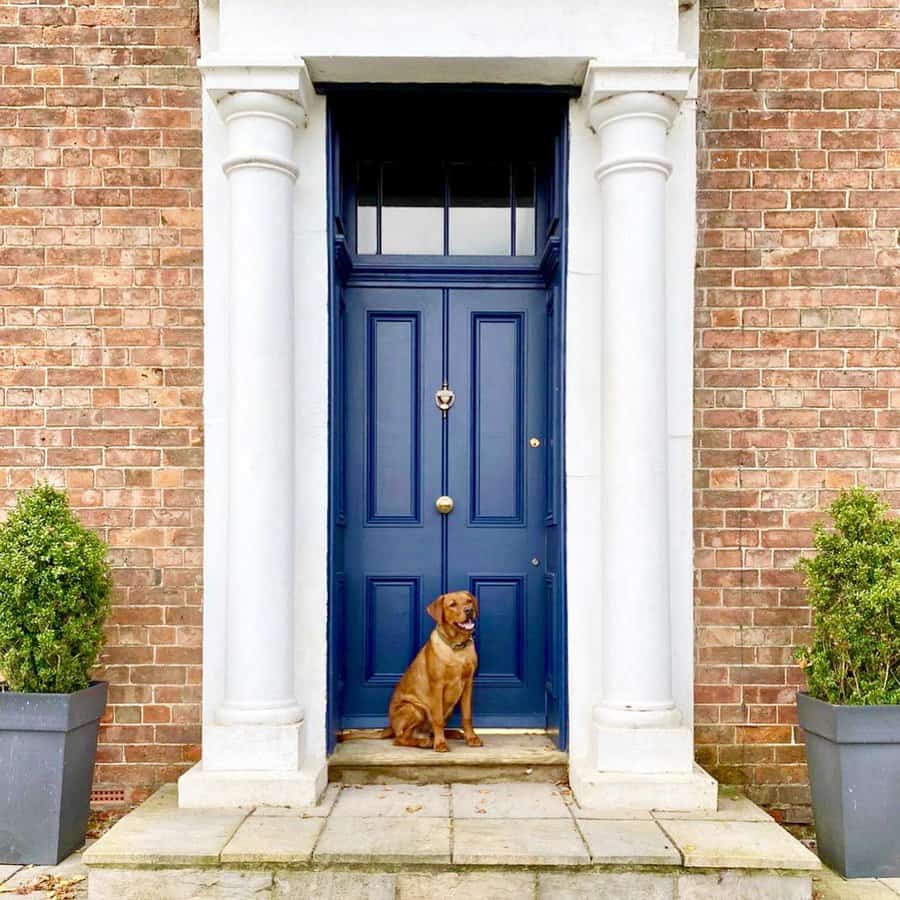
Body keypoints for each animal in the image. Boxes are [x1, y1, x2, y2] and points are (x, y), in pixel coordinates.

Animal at [338, 592, 482, 752]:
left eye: (468, 601)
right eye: (452, 604)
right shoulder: (437, 686)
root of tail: (391, 726)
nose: (469, 610)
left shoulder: (468, 684)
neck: (456, 648)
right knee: (400, 739)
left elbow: (467, 716)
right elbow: (438, 719)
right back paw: (425, 742)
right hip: (416, 709)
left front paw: (471, 738)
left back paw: (449, 734)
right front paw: (440, 743)